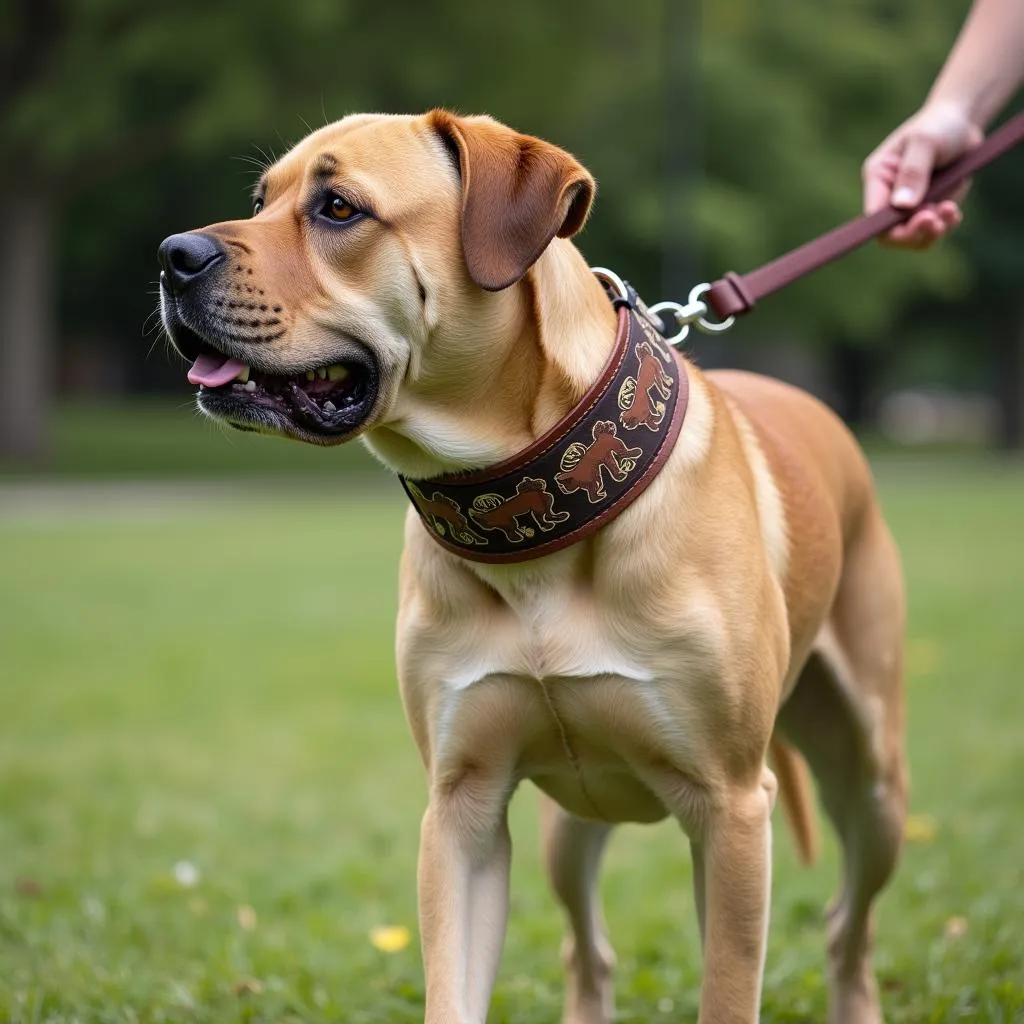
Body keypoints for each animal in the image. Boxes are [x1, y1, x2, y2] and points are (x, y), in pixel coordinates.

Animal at [157, 110, 905, 1024]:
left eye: (338, 208)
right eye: (261, 200)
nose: (174, 253)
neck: (526, 514)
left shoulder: (732, 808)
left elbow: (728, 992)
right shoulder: (463, 806)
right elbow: (455, 988)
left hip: (871, 787)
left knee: (845, 926)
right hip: (573, 820)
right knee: (590, 951)